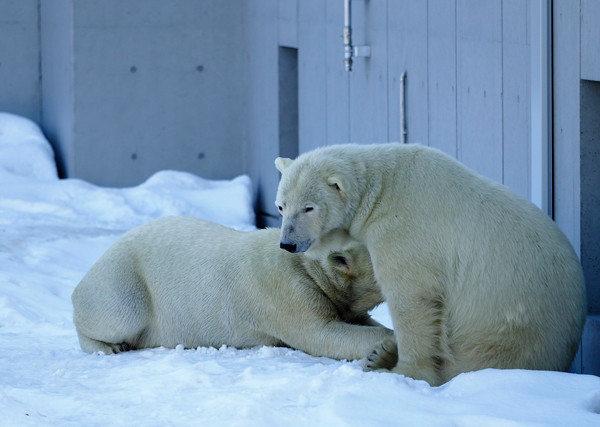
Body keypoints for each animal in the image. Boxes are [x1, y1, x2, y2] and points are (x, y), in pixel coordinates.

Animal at [70, 217, 392, 362]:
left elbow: (358, 319)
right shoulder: (285, 291)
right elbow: (323, 333)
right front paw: (384, 348)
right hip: (123, 279)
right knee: (120, 315)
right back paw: (110, 346)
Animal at [276, 142, 584, 386]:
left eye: (308, 207)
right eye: (281, 206)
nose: (287, 243)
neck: (380, 190)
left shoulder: (404, 228)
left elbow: (413, 297)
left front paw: (405, 371)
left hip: (502, 325)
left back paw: (385, 359)